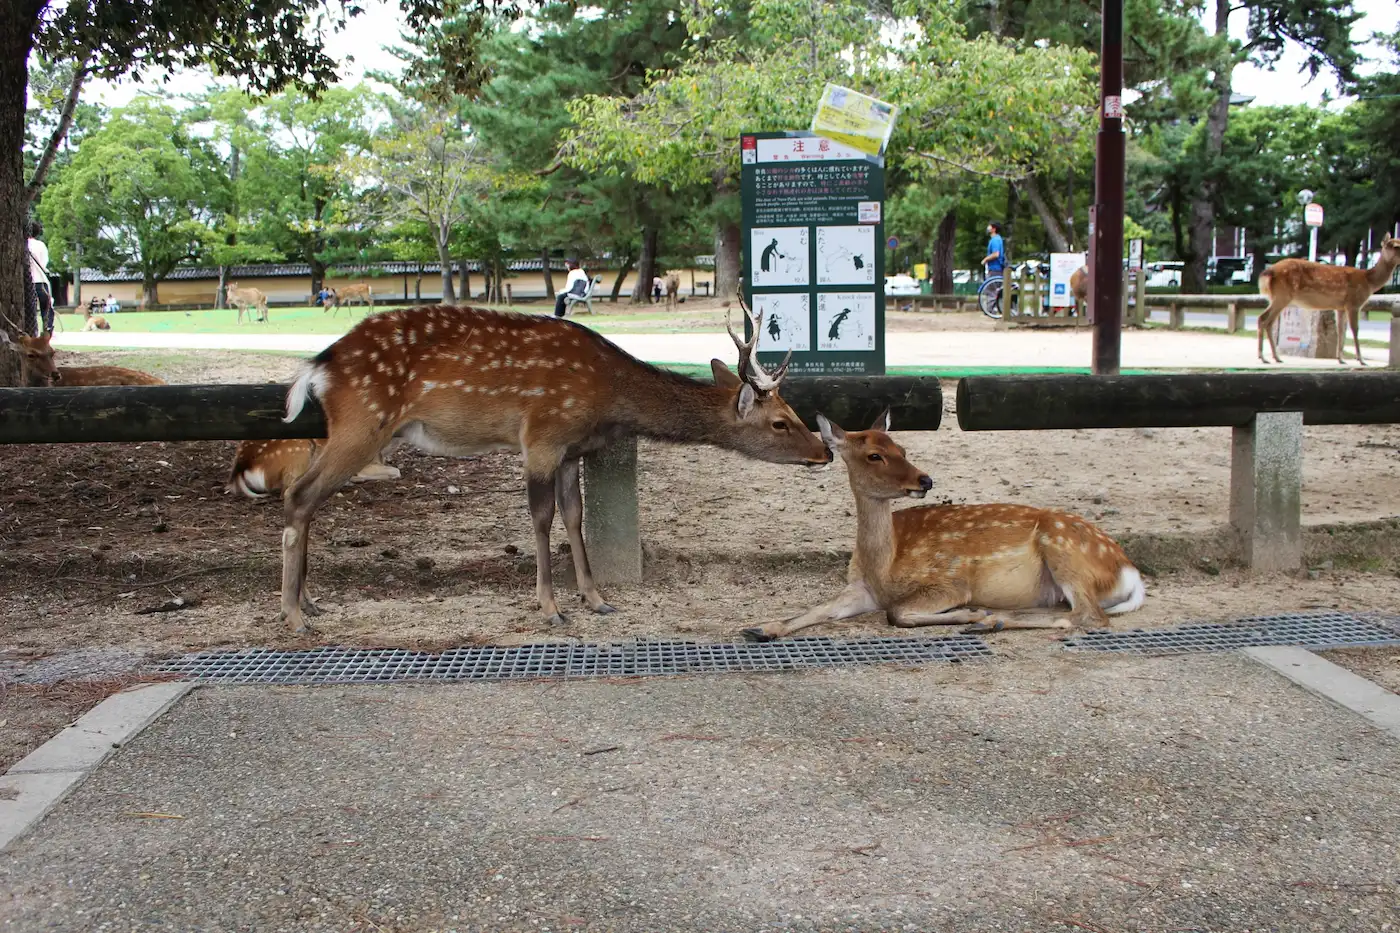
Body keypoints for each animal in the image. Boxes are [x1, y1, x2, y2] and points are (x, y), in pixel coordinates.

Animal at [275, 301, 830, 633]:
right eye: (781, 421)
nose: (823, 452)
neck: (608, 396)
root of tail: (319, 365)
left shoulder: (571, 450)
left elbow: (574, 516)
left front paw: (595, 597)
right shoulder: (542, 435)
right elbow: (541, 519)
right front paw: (550, 607)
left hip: (351, 430)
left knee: (306, 499)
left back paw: (311, 601)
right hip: (362, 422)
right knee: (299, 495)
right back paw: (294, 615)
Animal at [741, 412, 1145, 642]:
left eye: (902, 447)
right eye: (874, 454)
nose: (925, 479)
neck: (884, 567)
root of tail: (1130, 573)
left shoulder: (950, 580)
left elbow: (897, 613)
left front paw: (970, 614)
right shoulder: (861, 590)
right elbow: (817, 610)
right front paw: (762, 627)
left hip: (1064, 550)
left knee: (1090, 616)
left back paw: (989, 621)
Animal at [1257, 234, 1400, 366]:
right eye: (1394, 245)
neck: (1369, 282)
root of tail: (1268, 272)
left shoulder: (1341, 307)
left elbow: (1340, 331)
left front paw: (1341, 359)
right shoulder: (1353, 303)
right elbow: (1355, 329)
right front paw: (1361, 360)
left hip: (1276, 298)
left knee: (1265, 320)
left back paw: (1273, 357)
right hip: (1282, 296)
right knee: (1265, 319)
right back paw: (1266, 357)